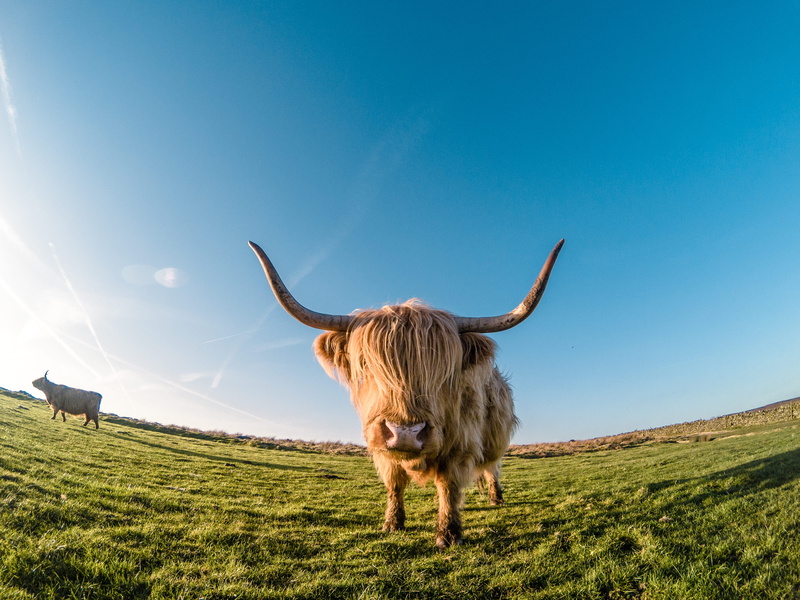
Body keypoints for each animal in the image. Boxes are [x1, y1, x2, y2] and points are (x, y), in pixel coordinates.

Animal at [249, 239, 564, 547]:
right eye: (367, 363)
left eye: (443, 369)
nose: (405, 433)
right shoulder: (382, 448)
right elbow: (394, 484)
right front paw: (392, 523)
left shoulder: (460, 444)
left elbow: (448, 486)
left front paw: (448, 534)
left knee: (492, 468)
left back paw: (495, 498)